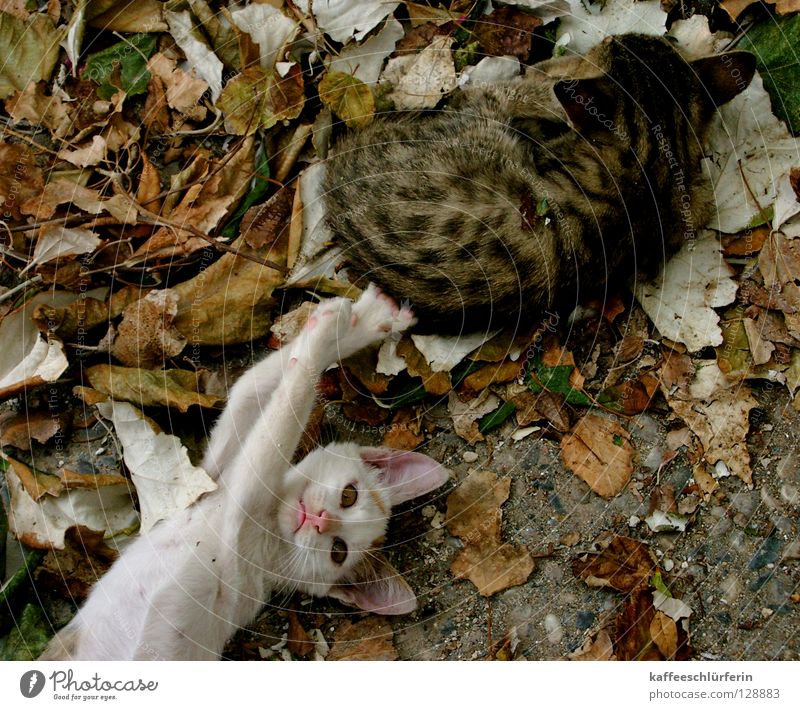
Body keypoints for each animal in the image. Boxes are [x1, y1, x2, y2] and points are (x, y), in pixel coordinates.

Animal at [42, 288, 450, 660]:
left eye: (339, 552)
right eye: (349, 495)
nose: (320, 519)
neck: (270, 519)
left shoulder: (243, 508)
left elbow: (284, 410)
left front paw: (327, 332)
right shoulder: (211, 475)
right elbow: (249, 387)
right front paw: (368, 320)